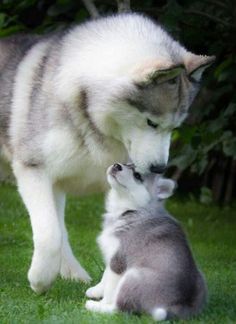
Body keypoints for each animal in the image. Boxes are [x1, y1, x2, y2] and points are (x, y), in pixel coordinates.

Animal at [0, 13, 214, 294]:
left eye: (175, 127)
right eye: (151, 123)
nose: (159, 168)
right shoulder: (33, 169)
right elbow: (50, 233)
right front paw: (40, 278)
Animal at [85, 163, 206, 320]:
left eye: (137, 176)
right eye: (126, 163)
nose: (117, 165)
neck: (131, 210)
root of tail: (180, 305)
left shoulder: (119, 261)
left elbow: (110, 289)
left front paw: (103, 301)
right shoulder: (113, 257)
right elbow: (105, 276)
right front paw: (96, 290)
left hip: (133, 277)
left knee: (121, 309)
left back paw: (96, 307)